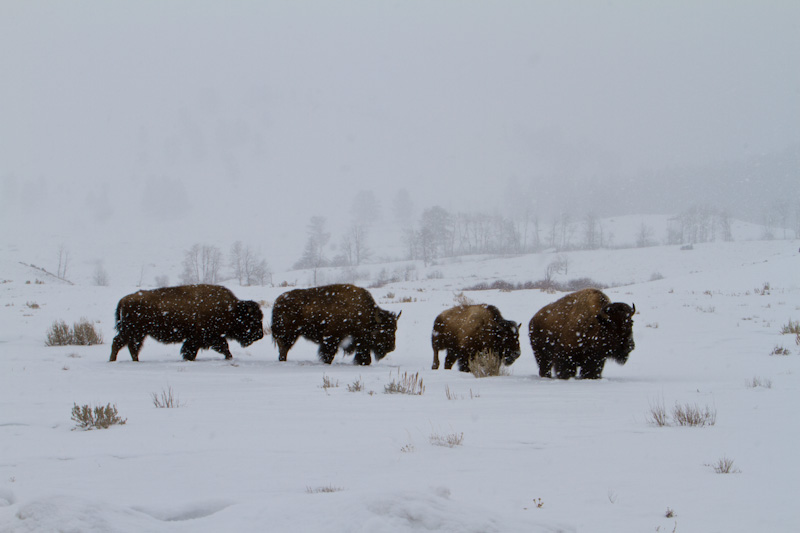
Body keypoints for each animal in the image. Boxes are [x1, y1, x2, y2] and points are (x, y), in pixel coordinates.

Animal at [109, 282, 264, 362]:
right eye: (251, 319)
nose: (260, 335)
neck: (231, 310)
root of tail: (124, 299)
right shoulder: (206, 337)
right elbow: (223, 346)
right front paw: (230, 358)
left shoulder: (200, 338)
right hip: (133, 330)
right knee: (120, 343)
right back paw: (113, 360)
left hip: (139, 333)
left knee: (131, 346)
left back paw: (134, 360)